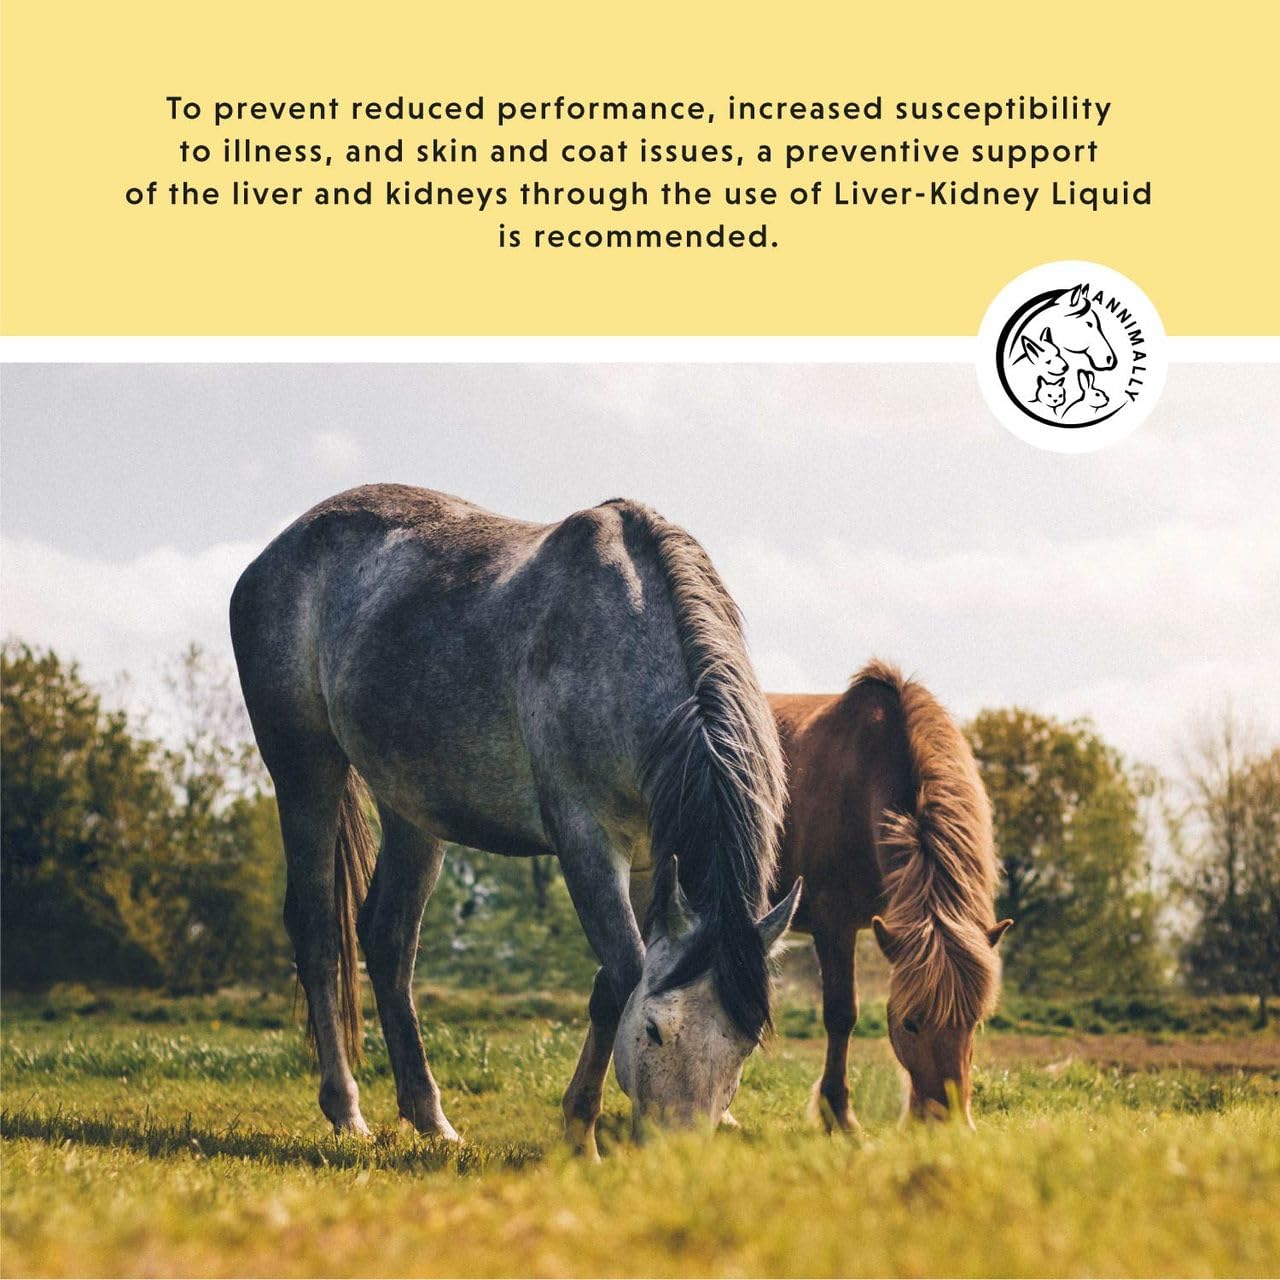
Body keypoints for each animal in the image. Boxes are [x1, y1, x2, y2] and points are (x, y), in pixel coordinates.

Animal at [230, 484, 801, 1156]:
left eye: (745, 1044)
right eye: (656, 1031)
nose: (677, 1154)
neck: (625, 641)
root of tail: (275, 553)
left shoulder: (649, 861)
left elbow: (610, 985)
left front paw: (577, 1126)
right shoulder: (586, 841)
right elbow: (624, 975)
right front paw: (581, 1137)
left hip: (410, 809)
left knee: (388, 940)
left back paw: (430, 1118)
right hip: (304, 770)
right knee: (320, 933)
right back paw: (346, 1111)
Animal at [769, 662, 1012, 1129]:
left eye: (973, 1022)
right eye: (910, 1023)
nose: (946, 1123)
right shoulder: (834, 924)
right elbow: (841, 1015)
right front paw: (839, 1115)